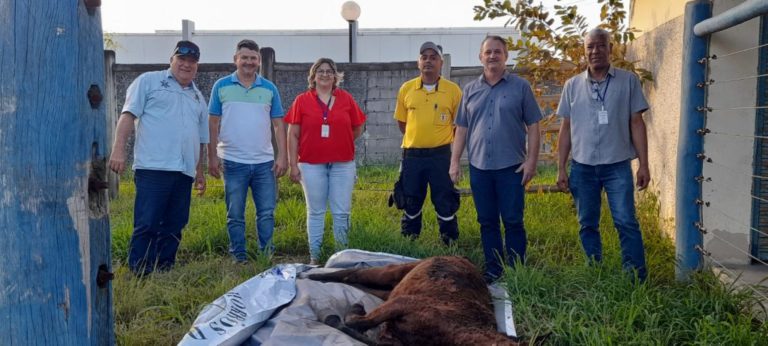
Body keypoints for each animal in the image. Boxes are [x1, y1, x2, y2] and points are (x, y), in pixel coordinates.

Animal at [308, 255, 520, 344]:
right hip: (395, 272)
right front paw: (349, 310)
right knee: (354, 273)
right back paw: (313, 276)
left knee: (361, 284)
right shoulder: (403, 303)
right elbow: (358, 322)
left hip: (392, 288)